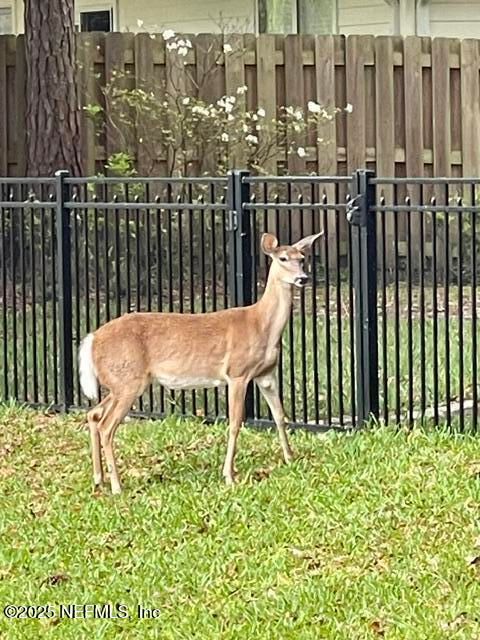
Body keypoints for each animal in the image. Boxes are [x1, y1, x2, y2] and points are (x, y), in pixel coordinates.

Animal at [79, 231, 322, 496]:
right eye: (282, 258)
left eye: (302, 258)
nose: (302, 278)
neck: (261, 325)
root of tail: (92, 339)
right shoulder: (237, 373)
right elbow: (235, 423)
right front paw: (228, 475)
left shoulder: (266, 374)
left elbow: (280, 415)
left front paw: (290, 458)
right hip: (128, 380)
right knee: (106, 426)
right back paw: (116, 486)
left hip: (122, 382)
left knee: (93, 414)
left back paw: (98, 479)